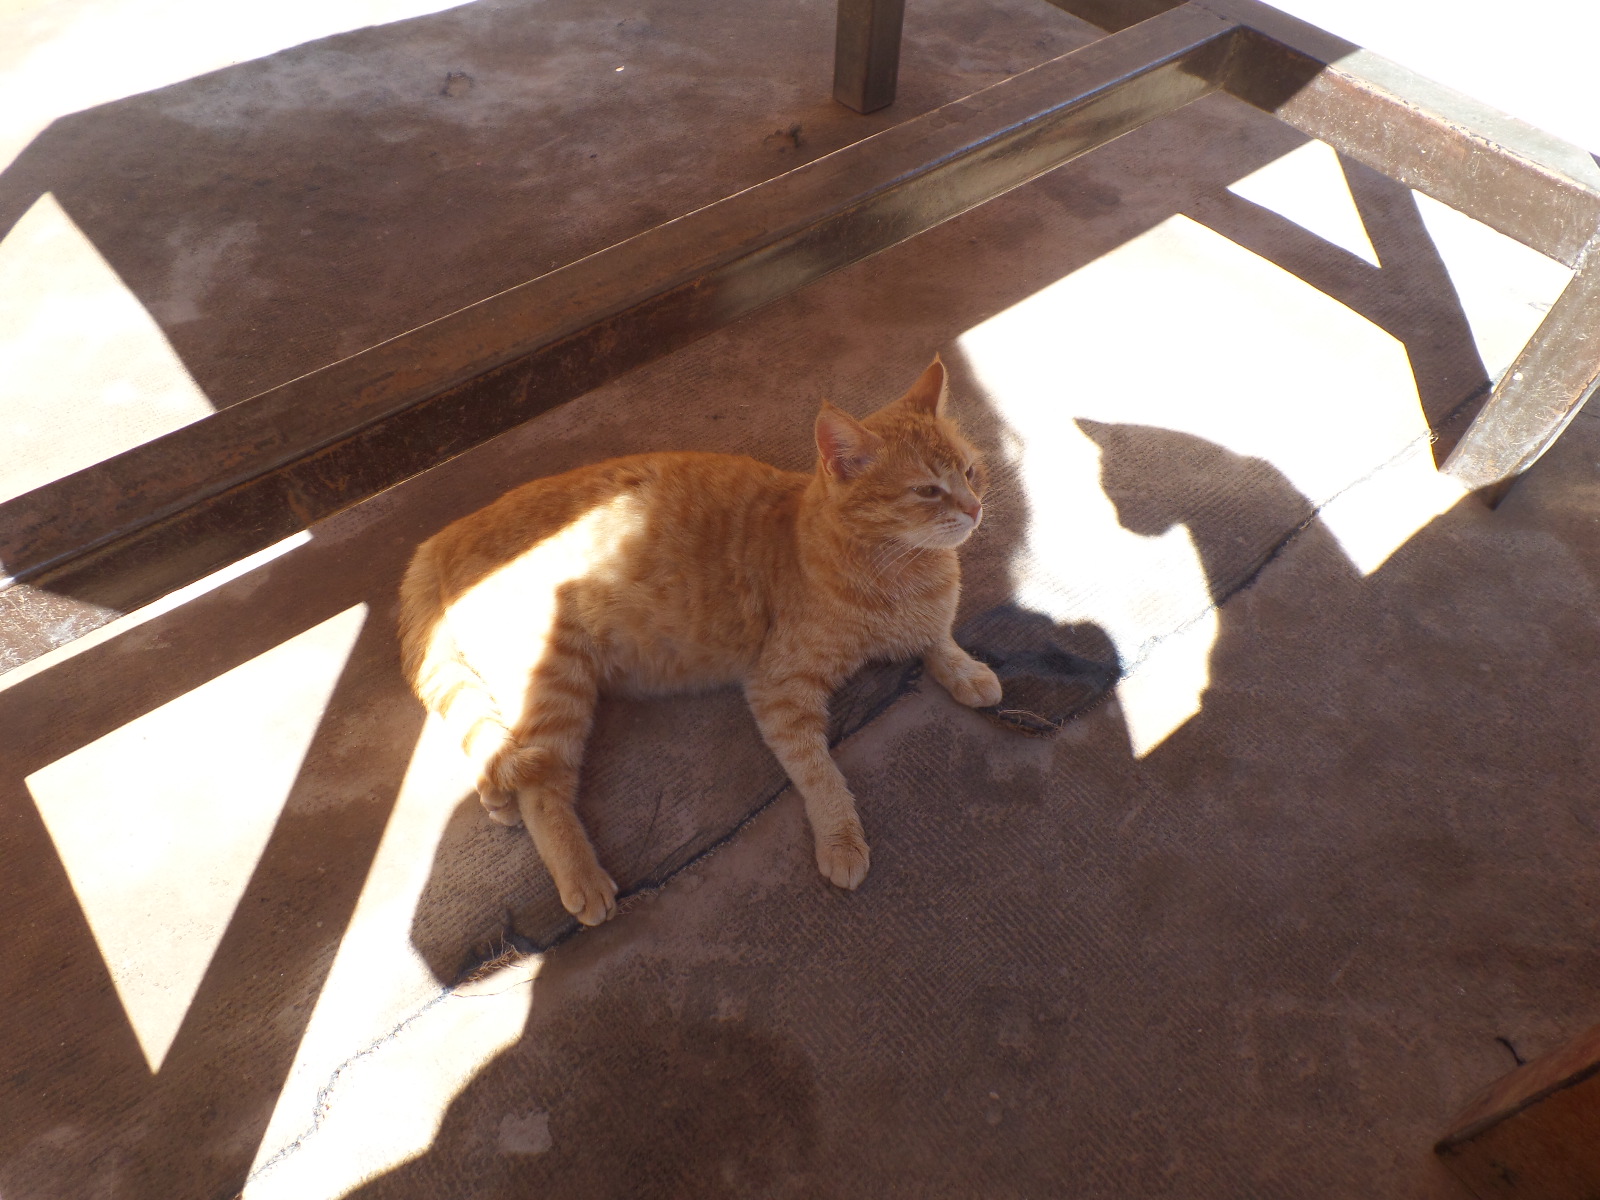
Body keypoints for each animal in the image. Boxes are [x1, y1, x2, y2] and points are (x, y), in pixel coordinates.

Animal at [398, 356, 1001, 926]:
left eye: (972, 472)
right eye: (927, 490)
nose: (974, 508)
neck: (903, 573)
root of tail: (443, 535)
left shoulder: (923, 624)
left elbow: (940, 641)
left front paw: (968, 671)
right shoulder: (779, 690)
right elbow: (821, 773)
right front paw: (841, 838)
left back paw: (496, 800)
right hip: (555, 688)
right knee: (540, 789)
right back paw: (581, 875)